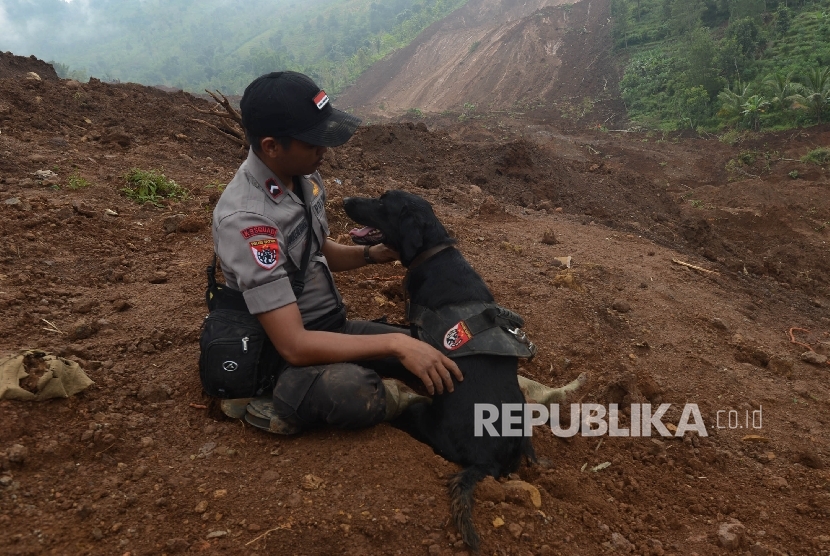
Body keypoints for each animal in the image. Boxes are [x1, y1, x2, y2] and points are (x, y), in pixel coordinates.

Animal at [344, 189, 540, 548]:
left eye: (381, 202)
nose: (345, 201)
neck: (432, 254)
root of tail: (485, 463)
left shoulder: (416, 338)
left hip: (420, 414)